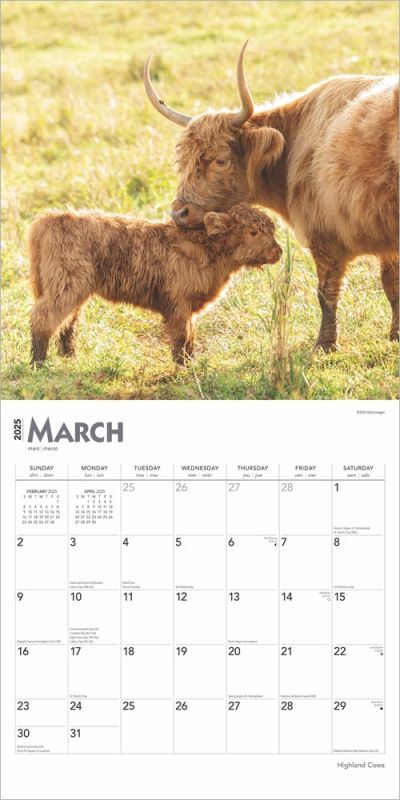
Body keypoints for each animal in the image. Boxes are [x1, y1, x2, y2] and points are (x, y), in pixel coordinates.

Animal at [144, 42, 399, 350]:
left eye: (220, 160)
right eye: (183, 161)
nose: (179, 213)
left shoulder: (324, 236)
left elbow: (326, 293)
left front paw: (324, 345)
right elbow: (392, 285)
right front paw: (396, 335)